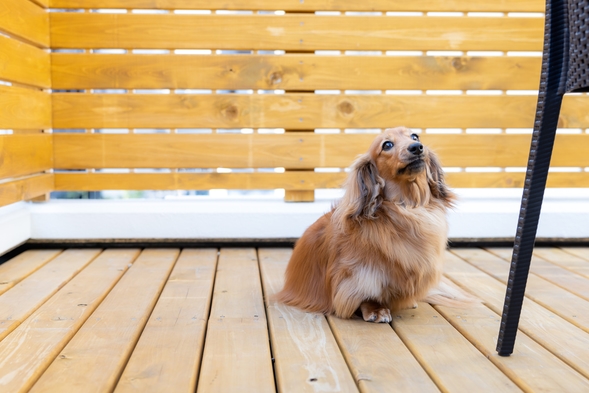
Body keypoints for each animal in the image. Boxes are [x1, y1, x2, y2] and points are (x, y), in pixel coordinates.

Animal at [274, 126, 464, 322]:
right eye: (387, 145)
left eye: (415, 136)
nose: (417, 147)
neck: (407, 208)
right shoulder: (360, 274)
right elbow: (366, 292)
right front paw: (375, 309)